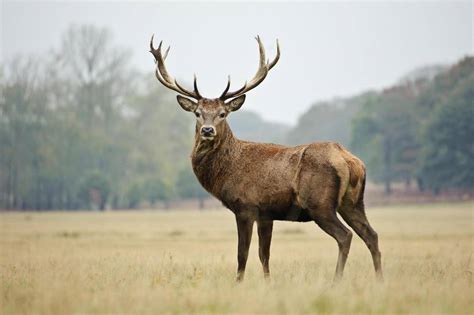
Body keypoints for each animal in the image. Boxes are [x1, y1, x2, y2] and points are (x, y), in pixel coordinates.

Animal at [150, 35, 384, 284]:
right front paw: (267, 282)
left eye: (223, 113)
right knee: (371, 235)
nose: (207, 130)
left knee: (345, 236)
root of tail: (350, 161)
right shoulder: (266, 213)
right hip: (353, 202)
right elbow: (264, 254)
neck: (227, 171)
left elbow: (242, 253)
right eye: (197, 113)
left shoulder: (245, 206)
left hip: (320, 203)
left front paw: (239, 282)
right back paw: (379, 279)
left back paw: (336, 280)